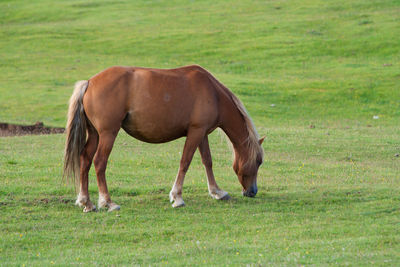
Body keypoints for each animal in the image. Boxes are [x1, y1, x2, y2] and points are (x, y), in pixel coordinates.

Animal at [64, 63, 264, 213]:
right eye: (258, 161)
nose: (252, 191)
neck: (214, 94)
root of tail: (89, 83)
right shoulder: (195, 132)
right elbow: (185, 162)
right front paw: (177, 197)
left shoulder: (201, 133)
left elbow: (207, 161)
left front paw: (217, 192)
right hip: (108, 134)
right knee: (99, 162)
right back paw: (108, 202)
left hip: (95, 134)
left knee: (85, 160)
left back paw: (86, 202)